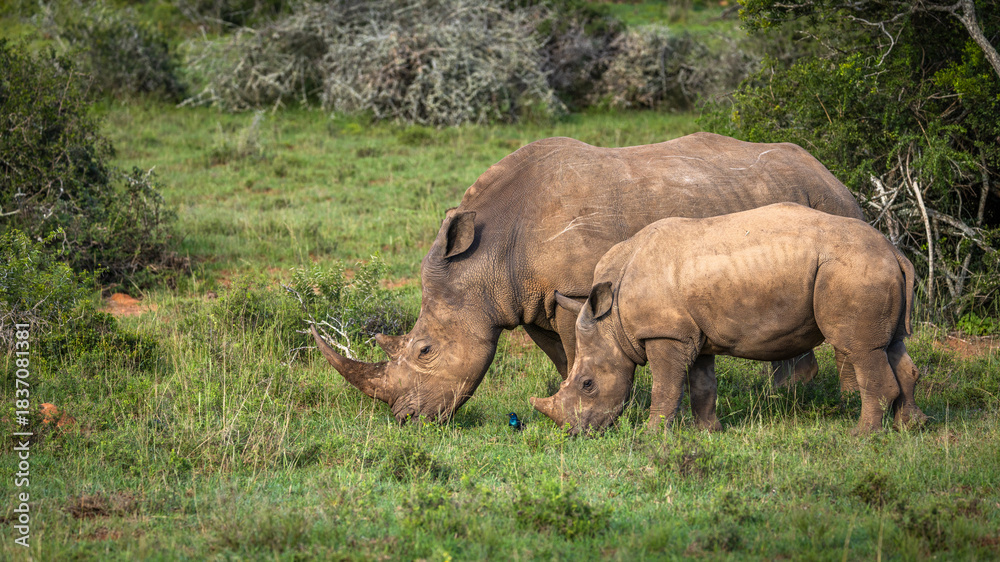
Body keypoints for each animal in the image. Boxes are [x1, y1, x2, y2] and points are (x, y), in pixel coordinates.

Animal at [312, 133, 865, 423]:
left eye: (425, 350)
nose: (406, 419)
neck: (490, 254)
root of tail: (830, 172)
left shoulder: (575, 290)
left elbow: (578, 346)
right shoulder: (530, 300)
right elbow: (564, 355)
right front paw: (576, 400)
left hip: (832, 205)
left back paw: (815, 401)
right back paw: (788, 398)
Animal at [530, 203, 927, 435]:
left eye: (587, 385)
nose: (573, 433)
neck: (612, 321)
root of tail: (894, 251)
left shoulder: (664, 334)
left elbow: (665, 386)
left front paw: (651, 437)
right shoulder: (693, 335)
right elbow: (702, 386)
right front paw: (710, 433)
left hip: (853, 270)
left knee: (861, 350)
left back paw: (862, 437)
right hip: (871, 268)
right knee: (892, 346)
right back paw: (910, 427)